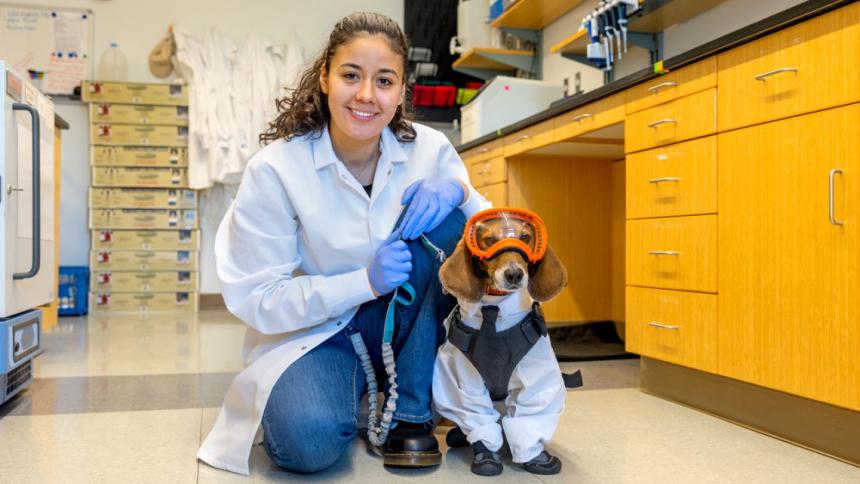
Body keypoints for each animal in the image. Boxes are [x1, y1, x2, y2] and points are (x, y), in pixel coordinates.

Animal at [434, 211, 568, 476]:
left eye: (525, 237)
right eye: (489, 240)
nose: (514, 274)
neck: (494, 311)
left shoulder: (535, 380)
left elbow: (530, 418)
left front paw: (536, 457)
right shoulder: (466, 383)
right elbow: (477, 417)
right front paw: (486, 452)